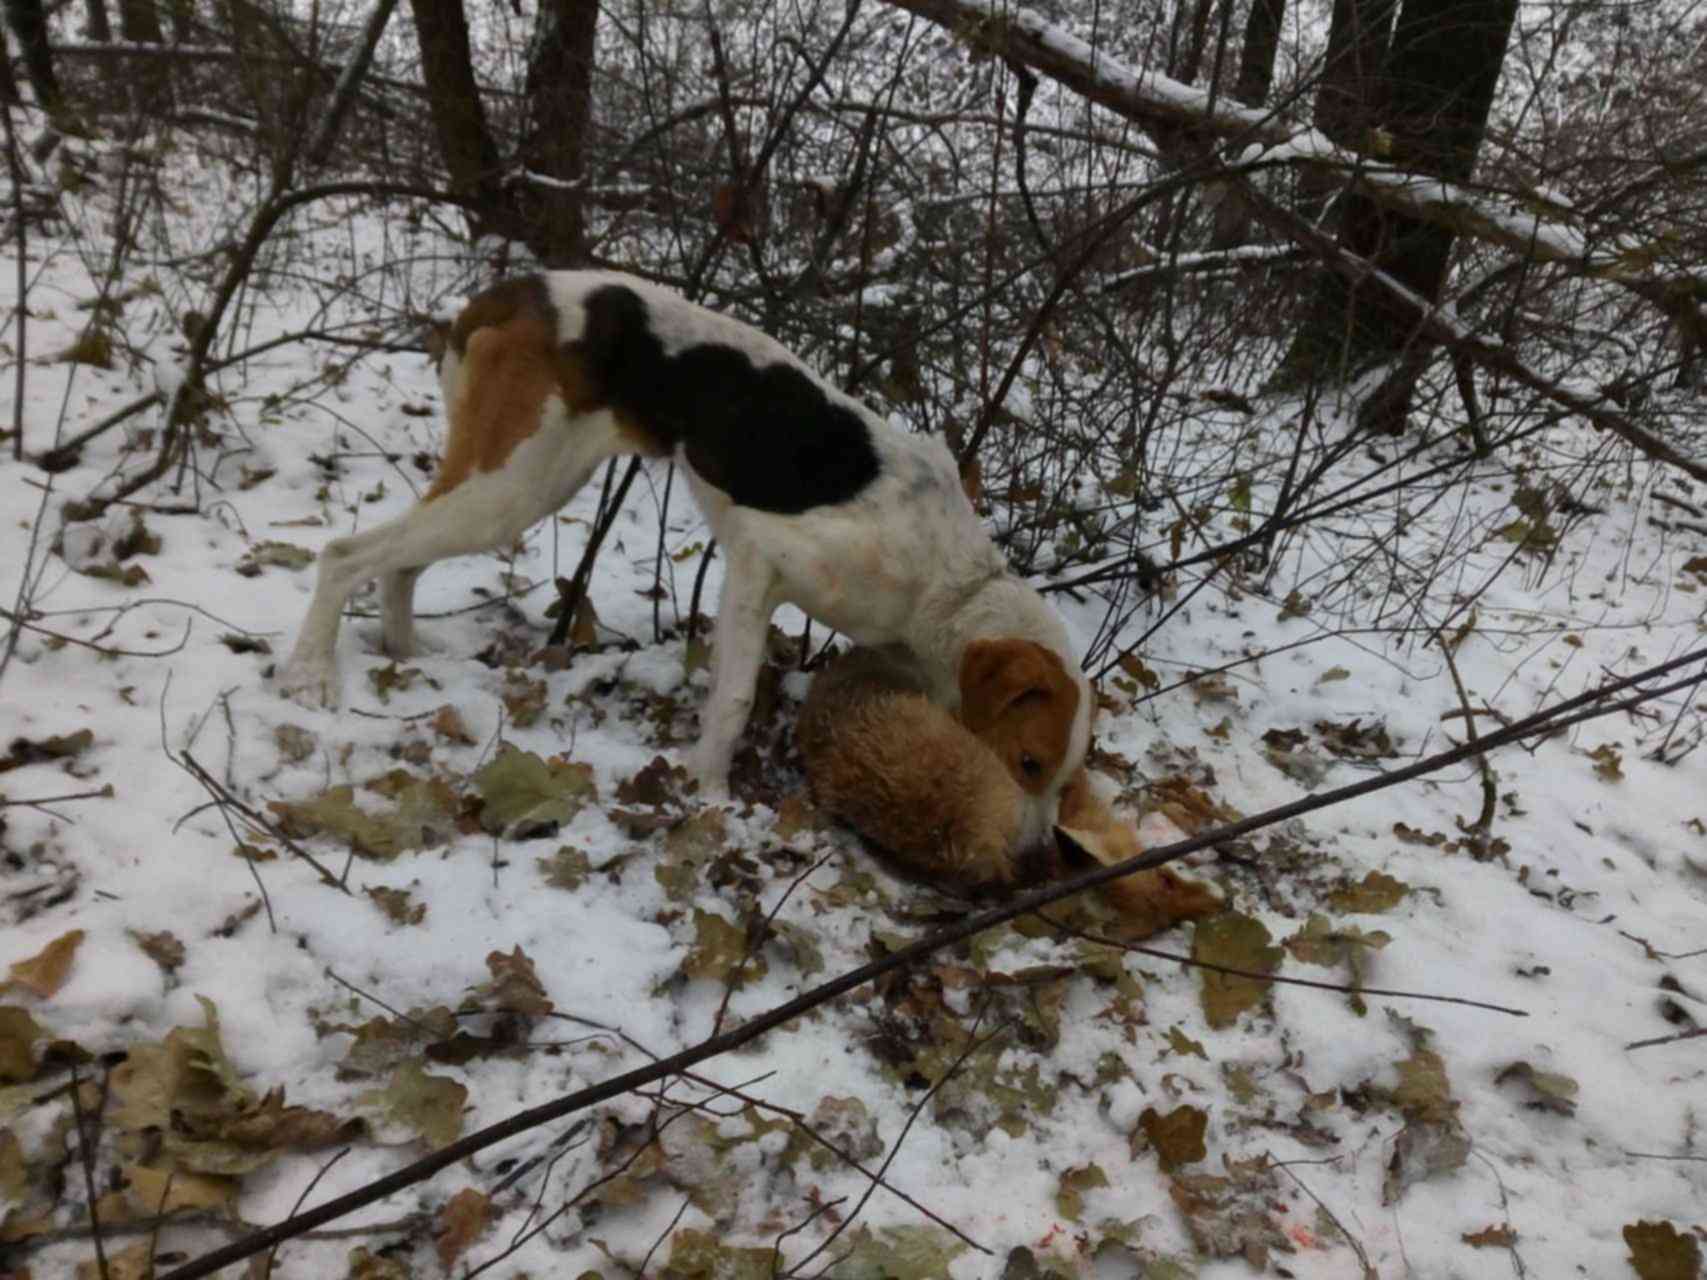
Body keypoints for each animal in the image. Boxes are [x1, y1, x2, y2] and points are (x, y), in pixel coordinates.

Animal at [273, 274, 1085, 836]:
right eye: (1028, 764)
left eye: (1064, 782)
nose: (1032, 859)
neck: (952, 584)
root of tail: (517, 290)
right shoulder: (760, 561)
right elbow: (733, 700)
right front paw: (713, 794)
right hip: (513, 486)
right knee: (344, 552)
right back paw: (311, 672)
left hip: (512, 485)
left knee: (400, 561)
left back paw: (404, 653)